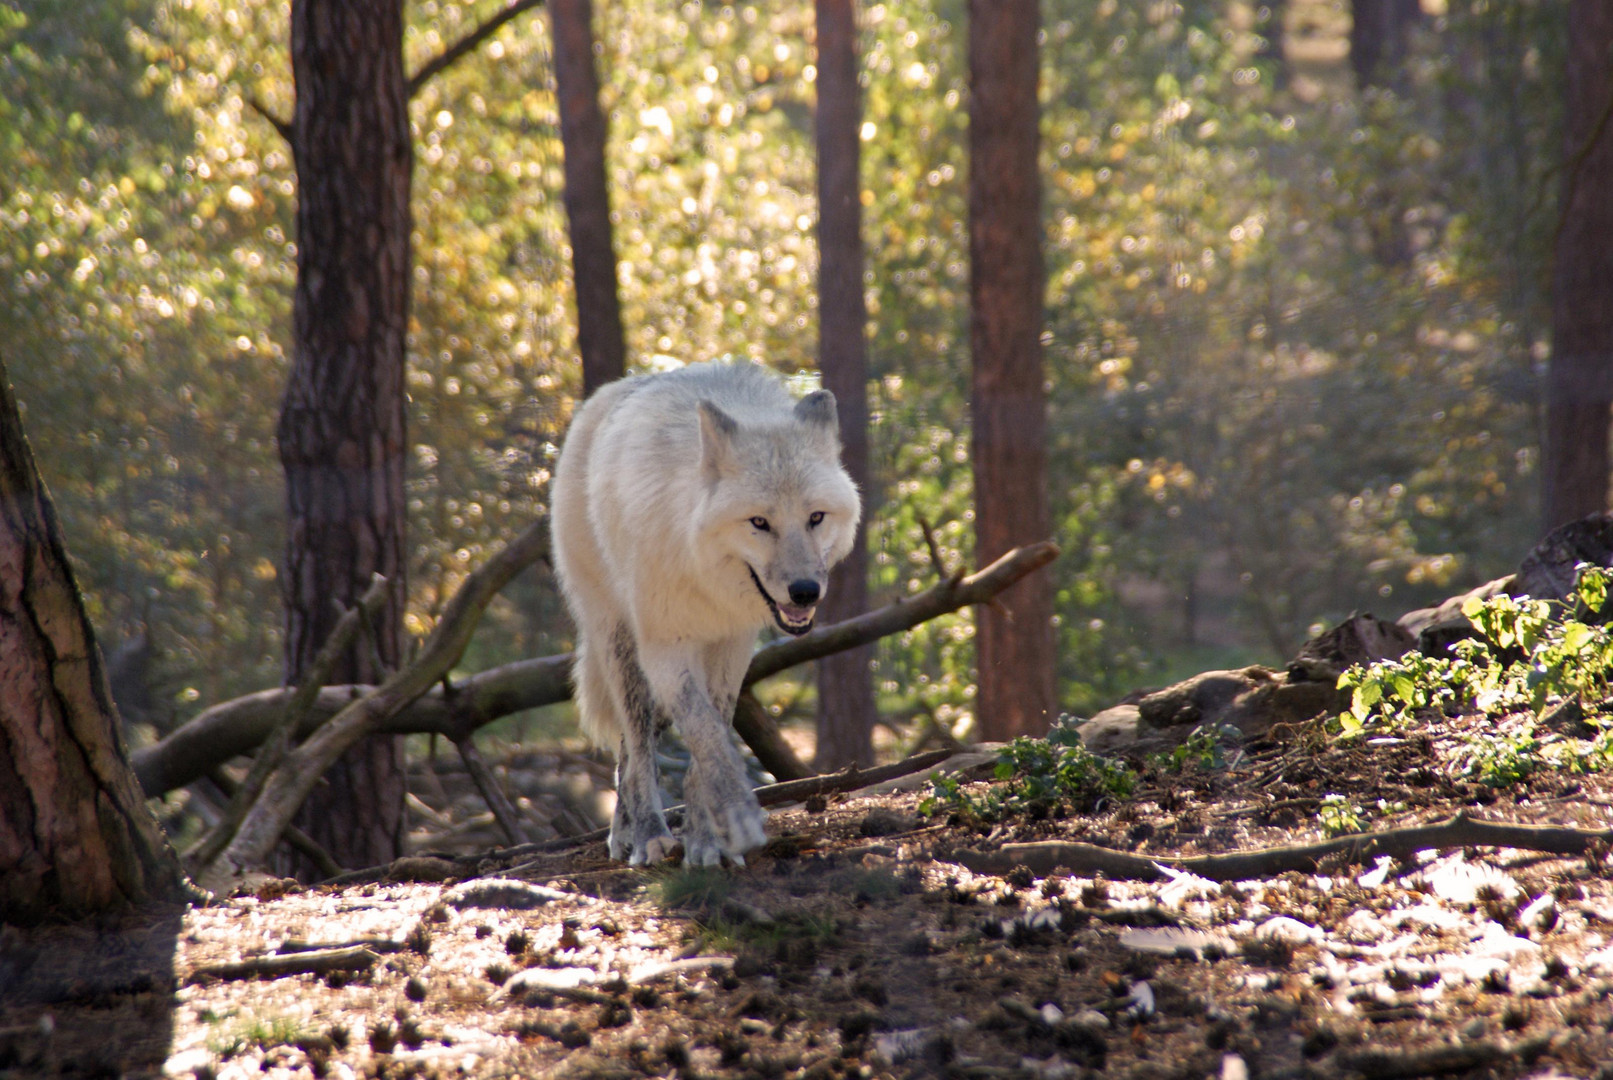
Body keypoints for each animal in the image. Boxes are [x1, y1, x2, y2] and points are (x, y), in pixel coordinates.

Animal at [551, 367, 858, 870]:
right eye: (759, 523)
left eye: (815, 517)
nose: (805, 591)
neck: (702, 570)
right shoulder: (664, 648)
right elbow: (707, 734)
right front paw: (734, 816)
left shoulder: (732, 645)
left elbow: (709, 737)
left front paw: (706, 840)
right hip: (619, 643)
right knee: (637, 745)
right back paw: (643, 836)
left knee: (627, 751)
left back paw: (628, 831)